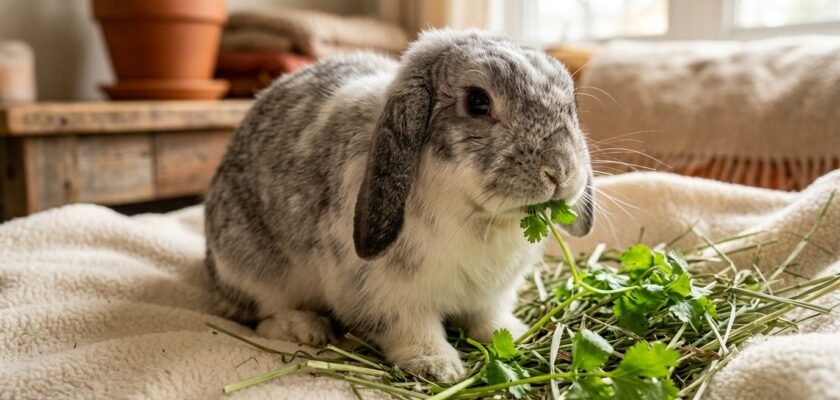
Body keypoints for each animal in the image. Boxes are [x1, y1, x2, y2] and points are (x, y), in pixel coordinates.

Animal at [204, 28, 594, 383]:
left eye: (571, 106)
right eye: (478, 102)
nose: (559, 172)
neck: (476, 216)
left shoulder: (492, 295)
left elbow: (489, 320)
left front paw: (514, 334)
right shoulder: (390, 296)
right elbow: (412, 329)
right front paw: (438, 367)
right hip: (252, 268)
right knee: (262, 316)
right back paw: (307, 328)